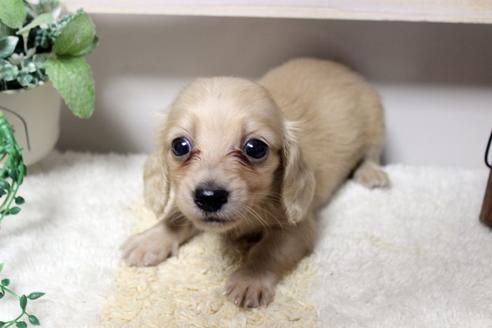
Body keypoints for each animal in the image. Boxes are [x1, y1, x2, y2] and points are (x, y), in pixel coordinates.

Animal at [122, 58, 388, 308]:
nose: (210, 197)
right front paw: (150, 240)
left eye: (255, 148)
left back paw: (372, 174)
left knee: (371, 155)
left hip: (375, 123)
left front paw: (249, 279)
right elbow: (176, 215)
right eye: (180, 146)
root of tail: (338, 65)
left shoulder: (298, 227)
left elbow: (267, 251)